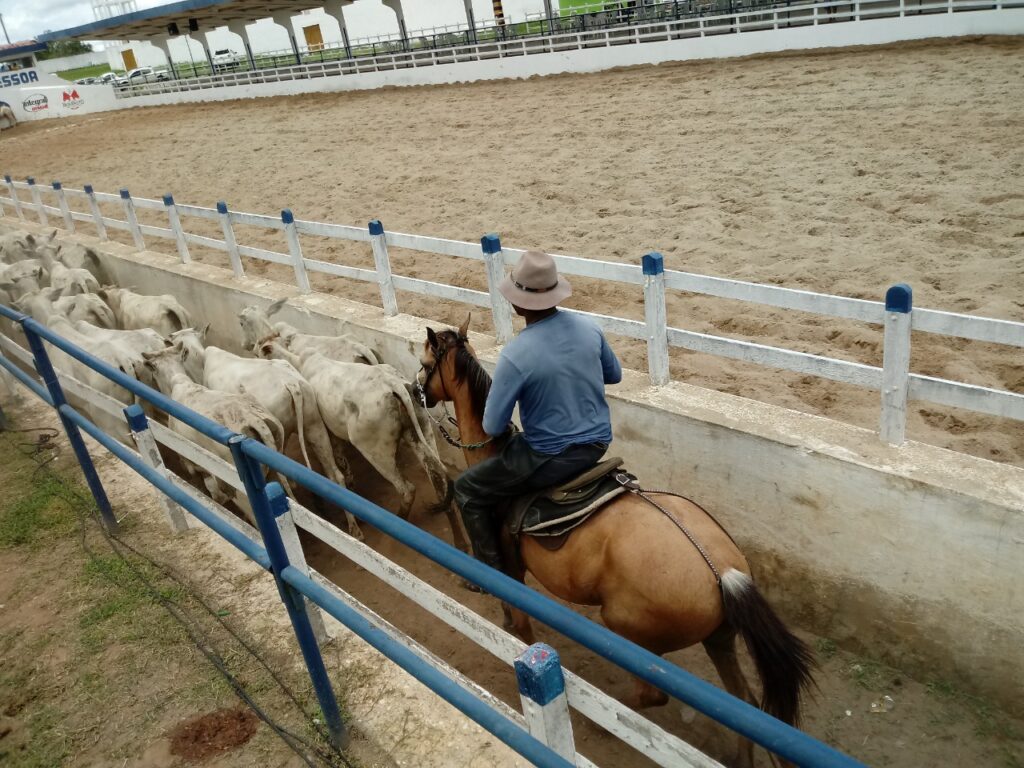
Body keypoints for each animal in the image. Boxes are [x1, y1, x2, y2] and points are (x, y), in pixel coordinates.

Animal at [256, 339, 452, 520]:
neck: (299, 363)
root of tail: (393, 384)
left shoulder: (327, 432)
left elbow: (339, 460)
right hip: (421, 430)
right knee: (437, 474)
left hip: (375, 451)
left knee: (407, 489)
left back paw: (399, 516)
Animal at [417, 315, 815, 765]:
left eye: (426, 362)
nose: (416, 390)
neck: (492, 453)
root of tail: (721, 569)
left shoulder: (512, 570)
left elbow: (520, 627)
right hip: (720, 641)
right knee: (745, 705)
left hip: (632, 635)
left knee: (650, 697)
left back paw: (601, 718)